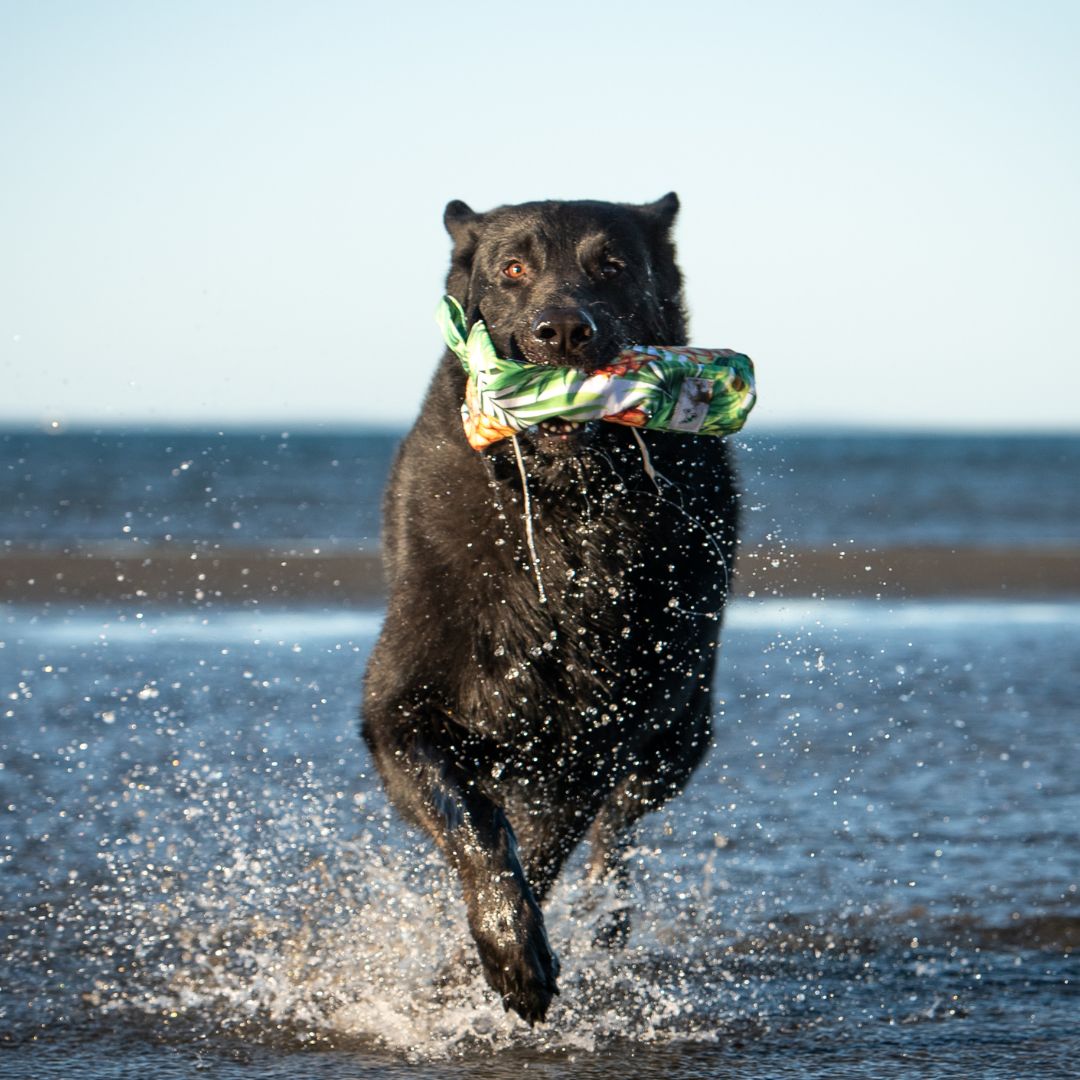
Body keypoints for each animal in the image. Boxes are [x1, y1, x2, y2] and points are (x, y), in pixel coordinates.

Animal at [362, 192, 743, 1019]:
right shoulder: (402, 713)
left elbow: (540, 849)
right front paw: (506, 947)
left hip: (677, 734)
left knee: (616, 838)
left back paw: (608, 919)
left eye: (613, 264)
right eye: (512, 269)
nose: (564, 330)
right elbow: (476, 828)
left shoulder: (591, 738)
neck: (564, 507)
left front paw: (485, 967)